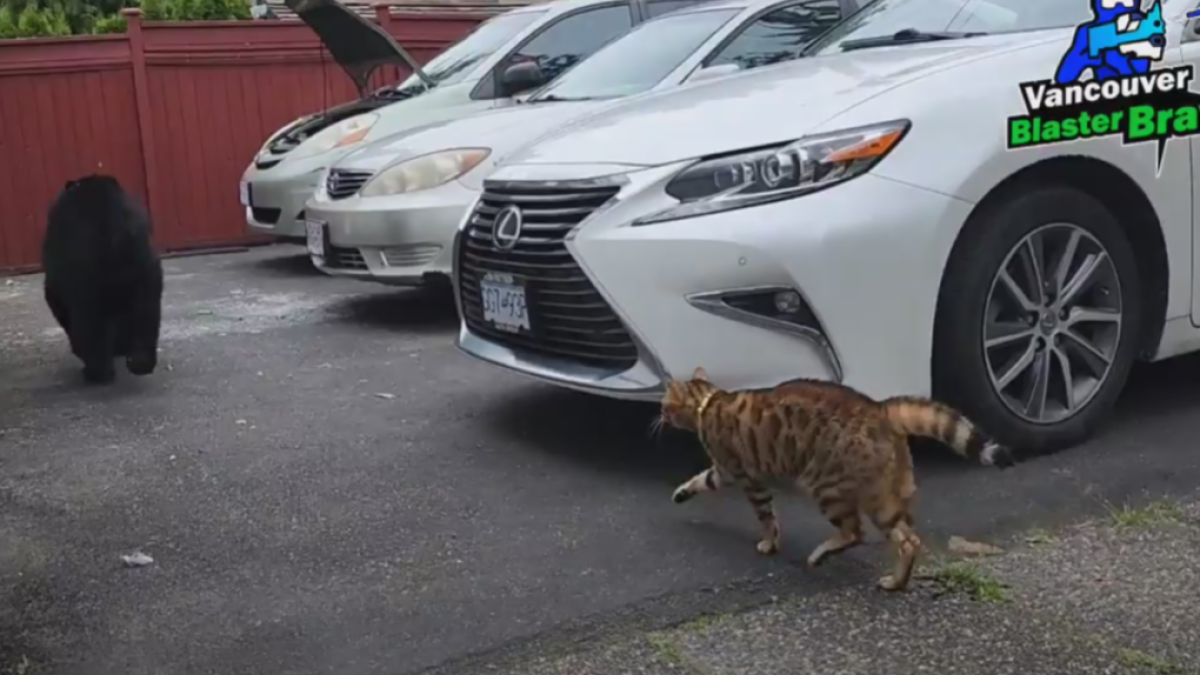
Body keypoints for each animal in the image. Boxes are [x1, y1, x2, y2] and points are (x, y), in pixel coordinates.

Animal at [43, 172, 164, 384]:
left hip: (87, 283)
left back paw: (96, 372)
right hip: (146, 270)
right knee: (146, 313)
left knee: (90, 325)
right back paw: (140, 362)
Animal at [657, 367, 1012, 588]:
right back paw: (897, 582)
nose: (659, 416)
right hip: (885, 499)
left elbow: (766, 518)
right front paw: (681, 492)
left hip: (826, 487)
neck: (709, 402)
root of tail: (880, 409)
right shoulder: (725, 472)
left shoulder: (744, 476)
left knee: (855, 533)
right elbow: (701, 480)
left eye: (663, 405)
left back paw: (821, 554)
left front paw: (769, 543)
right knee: (909, 540)